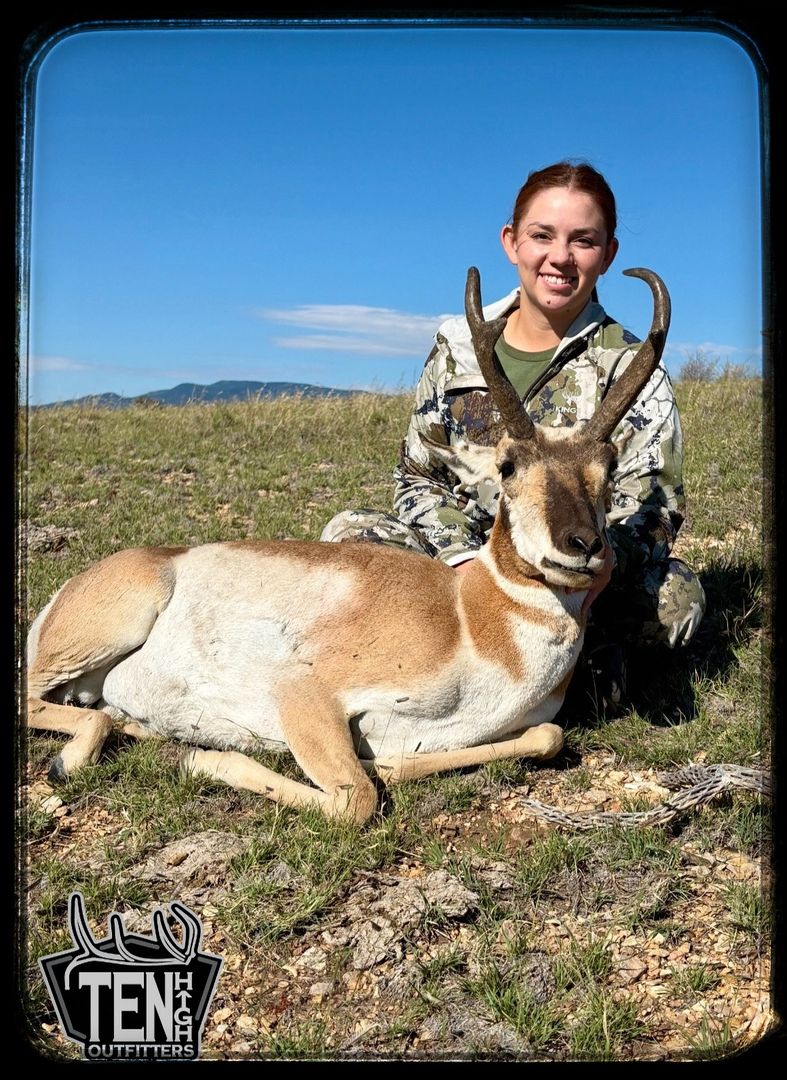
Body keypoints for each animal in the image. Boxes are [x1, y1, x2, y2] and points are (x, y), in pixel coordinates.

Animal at [26, 267, 670, 825]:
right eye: (509, 466)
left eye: (608, 468)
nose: (581, 545)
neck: (470, 618)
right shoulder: (305, 694)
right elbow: (355, 799)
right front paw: (202, 758)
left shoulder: (500, 730)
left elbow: (542, 736)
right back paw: (73, 761)